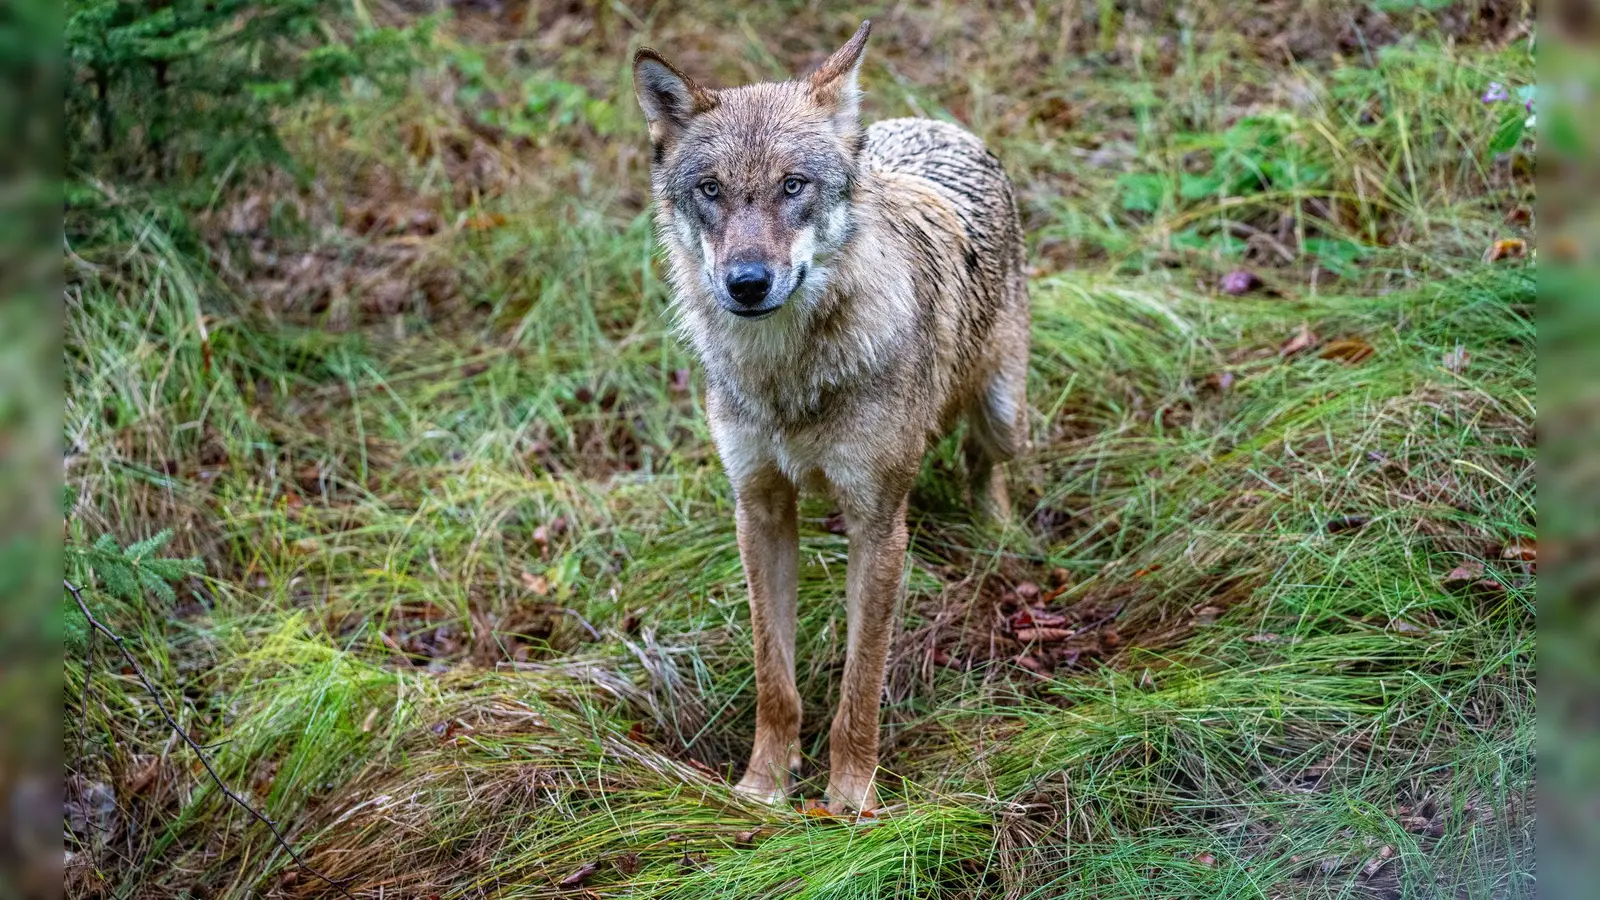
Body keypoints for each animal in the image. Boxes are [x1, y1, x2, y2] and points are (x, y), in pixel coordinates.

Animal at [632, 20, 1029, 814]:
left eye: (794, 186)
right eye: (711, 191)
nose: (747, 283)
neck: (788, 376)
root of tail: (936, 125)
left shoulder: (878, 526)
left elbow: (860, 683)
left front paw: (849, 803)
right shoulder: (758, 509)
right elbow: (774, 678)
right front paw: (762, 787)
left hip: (1002, 412)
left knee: (985, 462)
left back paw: (998, 536)